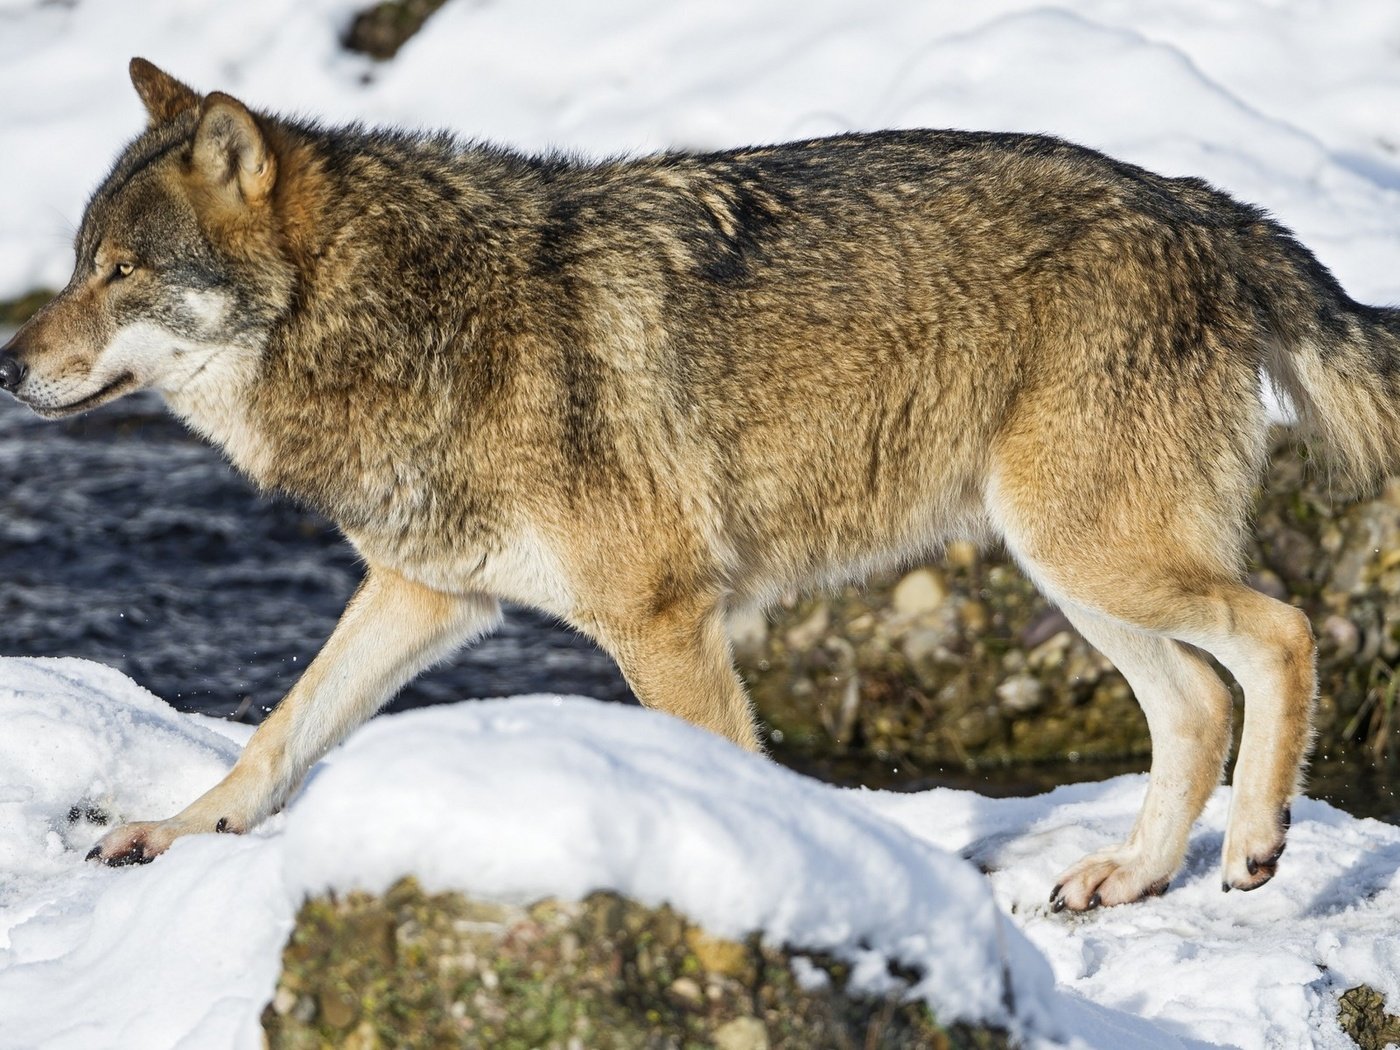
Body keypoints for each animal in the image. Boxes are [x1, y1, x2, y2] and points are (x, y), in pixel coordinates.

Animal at [2, 57, 1388, 912]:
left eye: (121, 274)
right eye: (75, 264)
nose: (6, 364)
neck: (408, 319)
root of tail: (1197, 202)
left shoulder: (661, 621)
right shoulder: (424, 595)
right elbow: (280, 734)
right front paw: (178, 834)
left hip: (1090, 552)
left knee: (1279, 632)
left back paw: (1253, 845)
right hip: (1065, 564)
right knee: (1193, 706)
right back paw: (1131, 877)